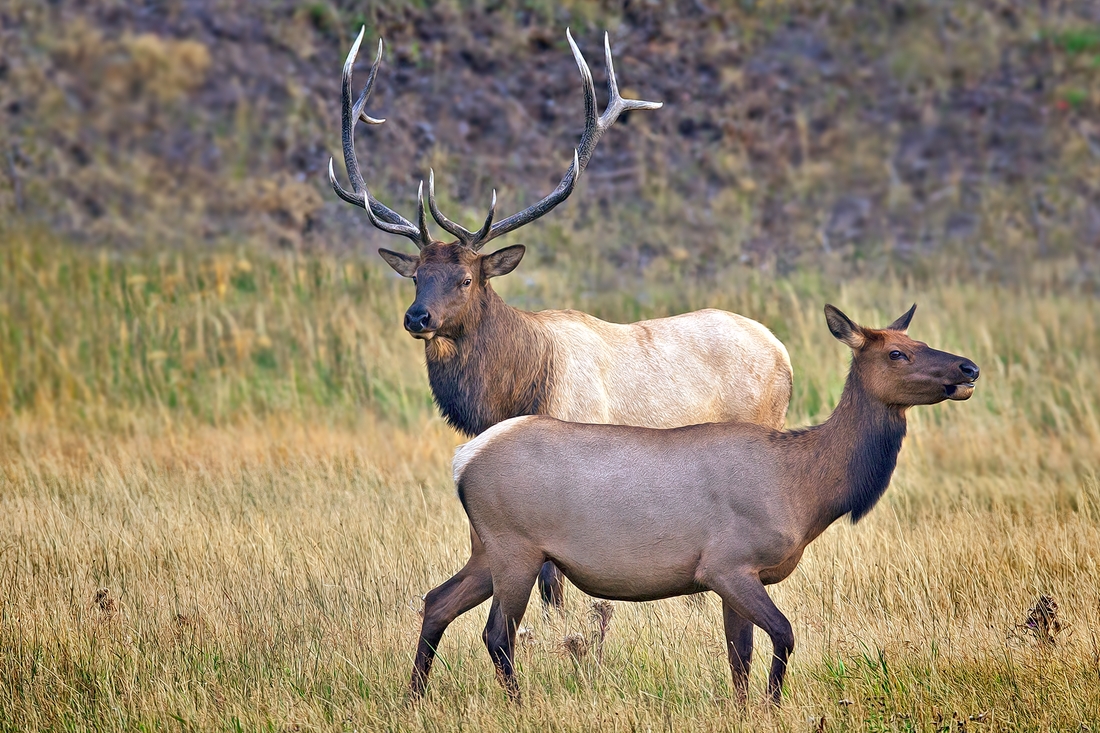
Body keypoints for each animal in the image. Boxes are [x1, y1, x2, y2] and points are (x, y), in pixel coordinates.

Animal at [411, 303, 981, 704]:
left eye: (917, 339)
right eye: (896, 353)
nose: (968, 367)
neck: (803, 488)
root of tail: (463, 459)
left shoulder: (739, 576)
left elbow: (739, 656)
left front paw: (745, 709)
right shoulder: (727, 565)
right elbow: (783, 636)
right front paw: (772, 706)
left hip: (486, 549)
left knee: (436, 601)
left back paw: (414, 698)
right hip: (516, 548)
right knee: (497, 634)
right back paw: (517, 704)